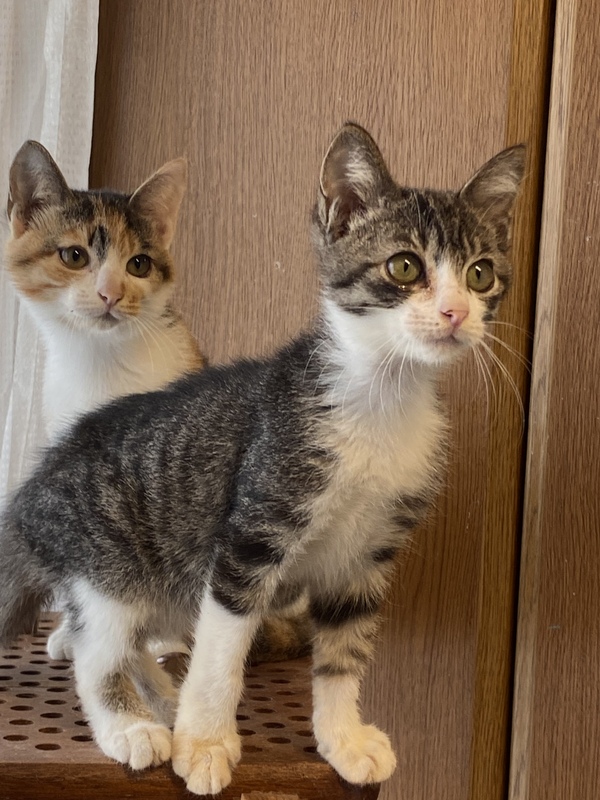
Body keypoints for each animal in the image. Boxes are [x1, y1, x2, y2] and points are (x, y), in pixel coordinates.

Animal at [0, 123, 525, 795]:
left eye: (481, 275)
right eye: (404, 266)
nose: (456, 313)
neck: (380, 400)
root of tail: (29, 494)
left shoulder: (369, 555)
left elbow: (344, 651)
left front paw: (341, 737)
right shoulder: (253, 531)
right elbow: (222, 649)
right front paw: (204, 742)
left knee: (132, 639)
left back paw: (162, 696)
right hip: (105, 561)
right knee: (99, 649)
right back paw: (133, 726)